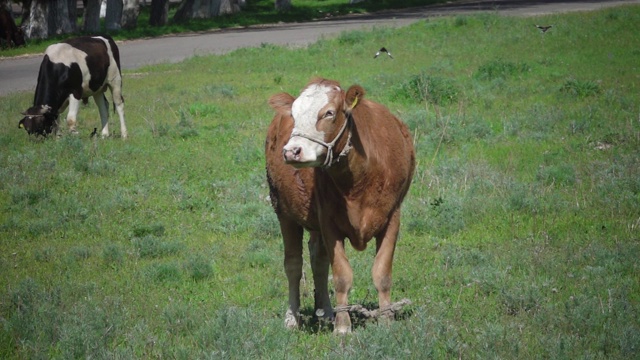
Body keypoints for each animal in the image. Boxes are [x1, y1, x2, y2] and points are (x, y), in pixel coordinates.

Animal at [264, 77, 416, 334]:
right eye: (294, 113)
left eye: (329, 113)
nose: (292, 151)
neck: (359, 178)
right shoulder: (329, 221)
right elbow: (342, 275)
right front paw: (343, 326)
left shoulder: (392, 216)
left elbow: (382, 273)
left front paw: (386, 320)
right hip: (283, 210)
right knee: (294, 264)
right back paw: (293, 317)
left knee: (318, 259)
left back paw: (325, 311)